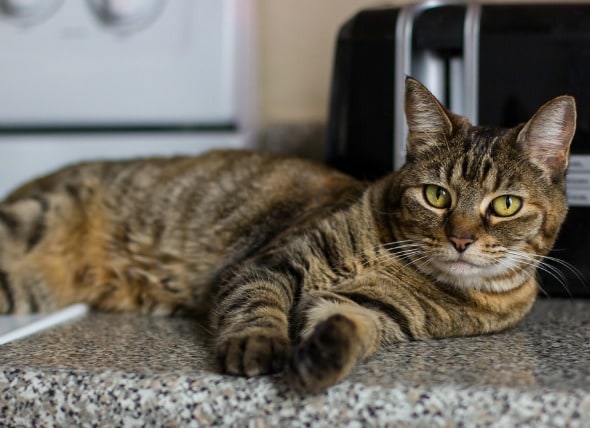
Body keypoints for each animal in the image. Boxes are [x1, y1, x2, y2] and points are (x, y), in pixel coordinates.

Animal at [0, 78, 580, 392]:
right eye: (436, 196)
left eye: (504, 206)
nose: (460, 239)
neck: (395, 260)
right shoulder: (271, 262)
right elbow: (257, 306)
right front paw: (259, 345)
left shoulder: (375, 311)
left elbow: (349, 324)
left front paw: (321, 357)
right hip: (28, 222)